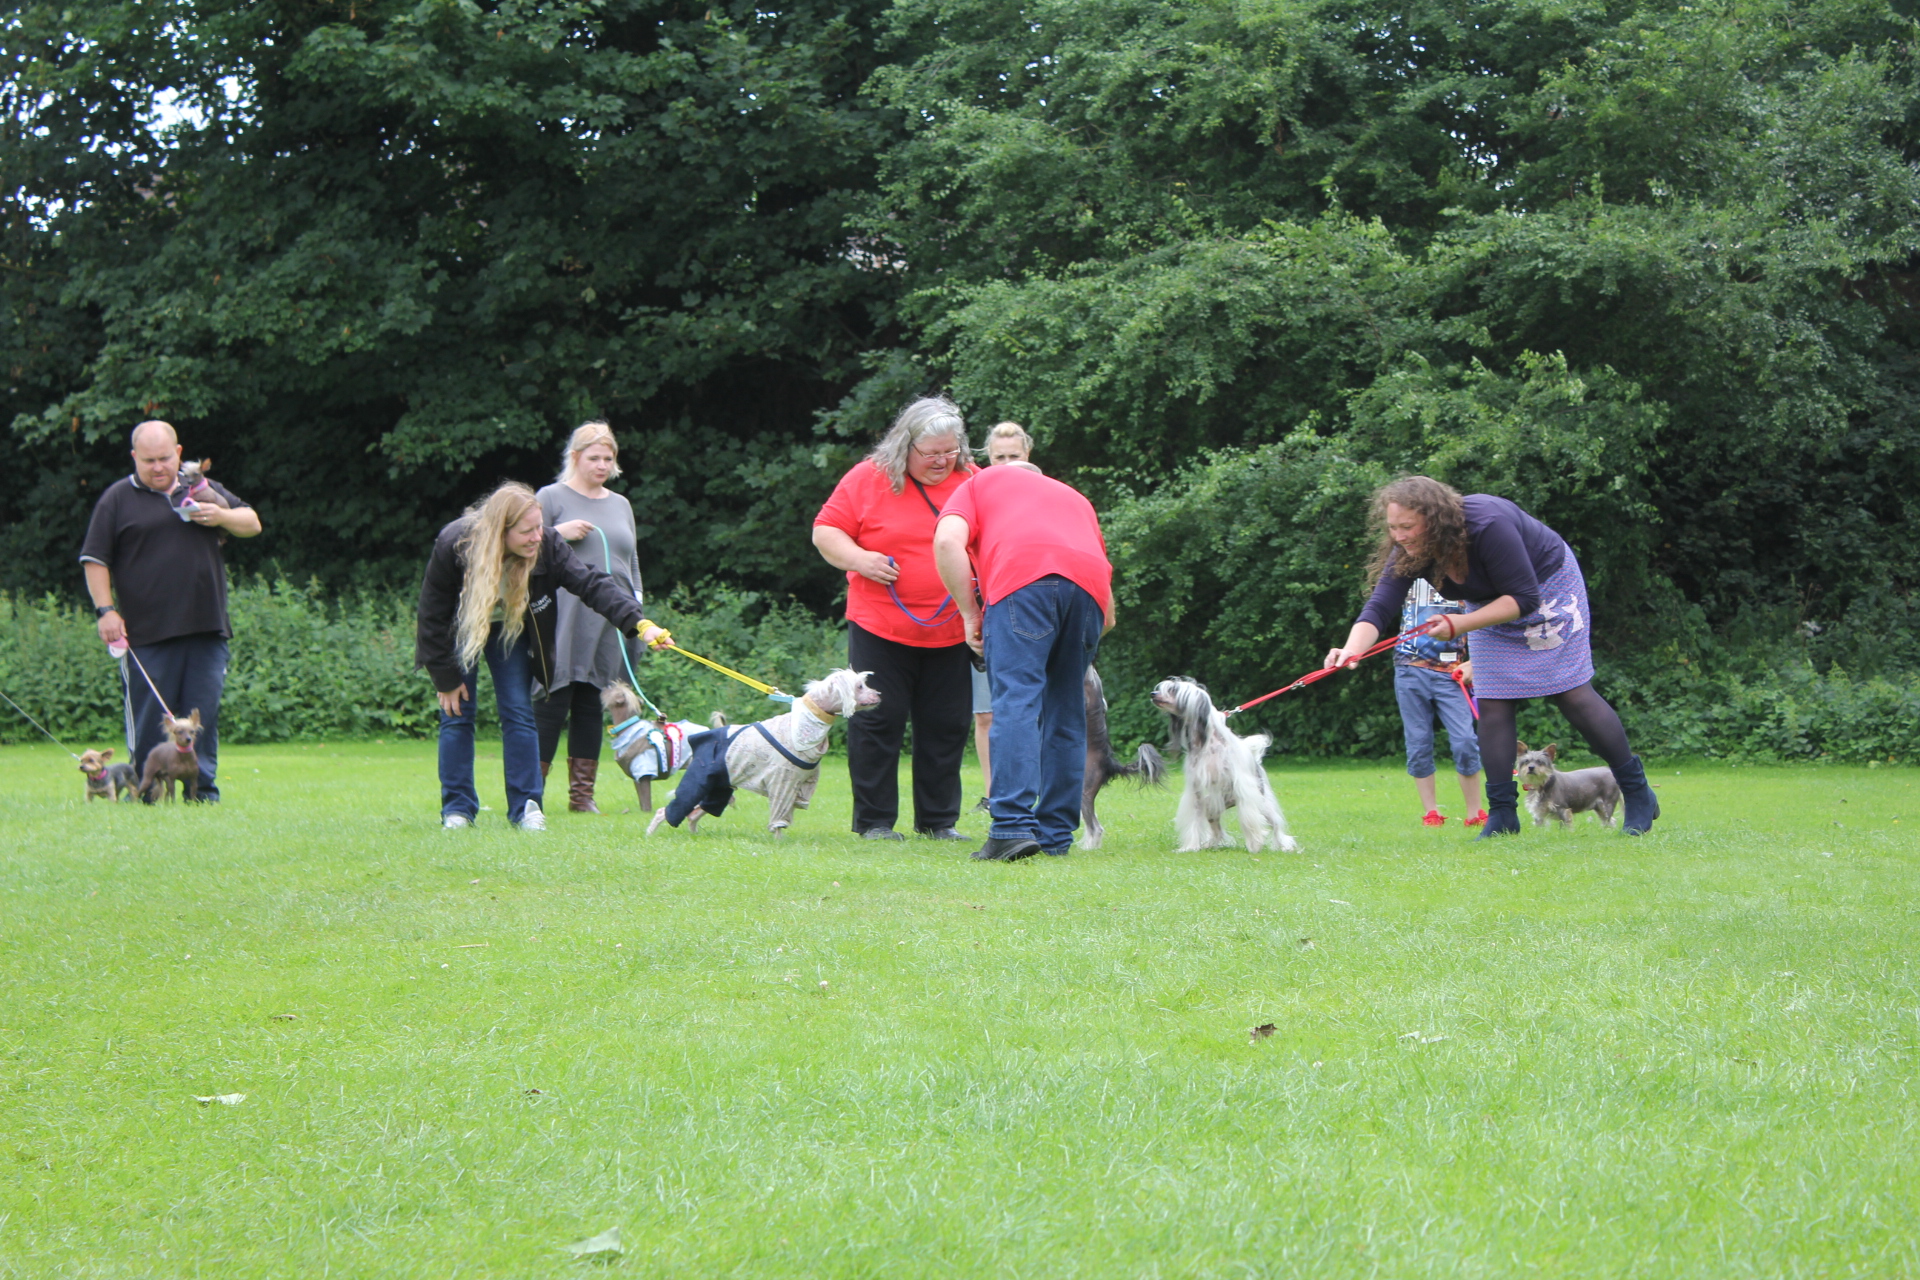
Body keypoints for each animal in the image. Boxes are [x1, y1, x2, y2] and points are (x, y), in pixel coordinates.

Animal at [600, 681, 709, 811]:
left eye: (610, 689)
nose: (603, 687)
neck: (628, 726)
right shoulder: (637, 777)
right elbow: (642, 801)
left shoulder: (644, 774)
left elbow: (646, 802)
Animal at [647, 669, 880, 836]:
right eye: (860, 685)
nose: (879, 694)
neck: (805, 723)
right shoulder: (782, 782)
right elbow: (778, 819)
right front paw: (778, 842)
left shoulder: (801, 786)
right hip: (699, 781)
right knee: (668, 810)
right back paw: (650, 833)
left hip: (719, 788)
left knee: (694, 814)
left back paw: (694, 835)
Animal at [1149, 678, 1298, 853]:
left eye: (1173, 690)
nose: (1153, 694)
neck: (1209, 743)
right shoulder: (1196, 789)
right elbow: (1194, 819)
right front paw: (1191, 847)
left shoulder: (1243, 788)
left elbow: (1249, 820)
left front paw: (1255, 845)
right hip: (1213, 805)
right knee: (1216, 829)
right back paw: (1211, 844)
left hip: (1261, 803)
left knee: (1275, 825)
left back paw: (1283, 845)